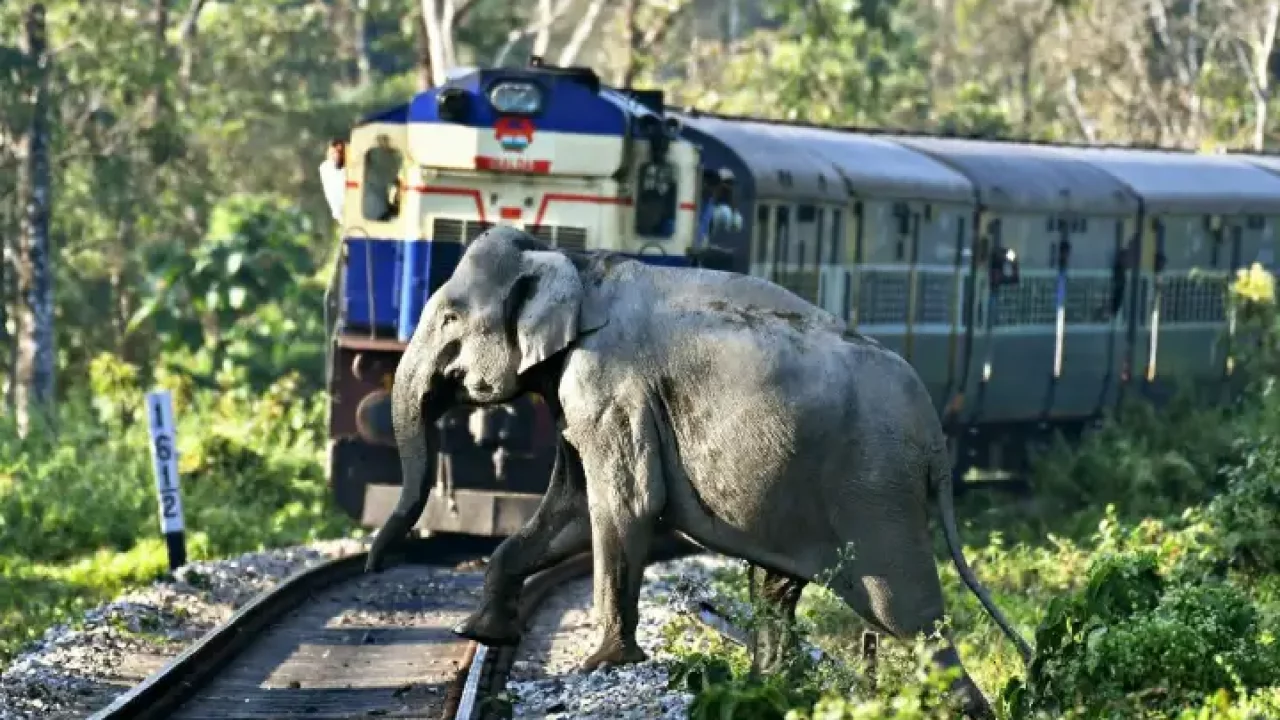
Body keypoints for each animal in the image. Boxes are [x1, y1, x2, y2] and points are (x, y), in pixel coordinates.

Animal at [366, 225, 1034, 717]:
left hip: (875, 492)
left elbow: (624, 506)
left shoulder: (608, 385)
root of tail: (935, 438)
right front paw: (479, 635)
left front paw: (599, 665)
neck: (576, 263)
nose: (373, 565)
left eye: (450, 319)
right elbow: (571, 511)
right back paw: (770, 683)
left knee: (908, 615)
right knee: (776, 587)